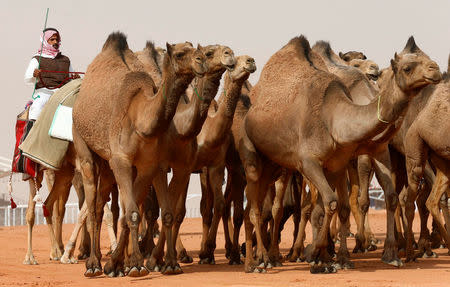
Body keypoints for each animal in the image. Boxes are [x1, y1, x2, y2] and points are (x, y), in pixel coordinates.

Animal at [73, 32, 208, 280]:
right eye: (179, 53)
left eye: (196, 48)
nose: (201, 60)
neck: (141, 120)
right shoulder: (122, 160)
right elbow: (133, 212)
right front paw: (135, 265)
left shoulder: (146, 164)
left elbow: (132, 211)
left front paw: (124, 264)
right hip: (84, 147)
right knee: (93, 205)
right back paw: (93, 264)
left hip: (108, 164)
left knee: (102, 204)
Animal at [241, 35, 442, 274]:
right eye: (407, 67)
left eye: (427, 59)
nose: (435, 69)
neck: (334, 118)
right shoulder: (309, 162)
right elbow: (331, 203)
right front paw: (317, 255)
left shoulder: (352, 158)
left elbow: (372, 200)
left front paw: (387, 255)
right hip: (260, 157)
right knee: (265, 206)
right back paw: (264, 259)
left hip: (275, 163)